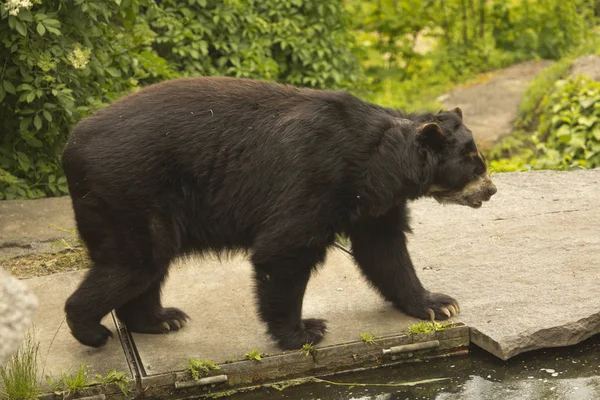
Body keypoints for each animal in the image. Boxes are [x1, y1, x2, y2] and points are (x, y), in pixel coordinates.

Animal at [62, 76, 496, 350]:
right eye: (474, 165)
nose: (491, 191)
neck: (380, 163)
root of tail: (71, 146)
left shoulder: (373, 201)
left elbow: (384, 249)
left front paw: (438, 303)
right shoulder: (316, 178)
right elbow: (284, 250)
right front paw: (303, 332)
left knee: (148, 266)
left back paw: (160, 319)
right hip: (128, 193)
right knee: (132, 263)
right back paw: (92, 330)